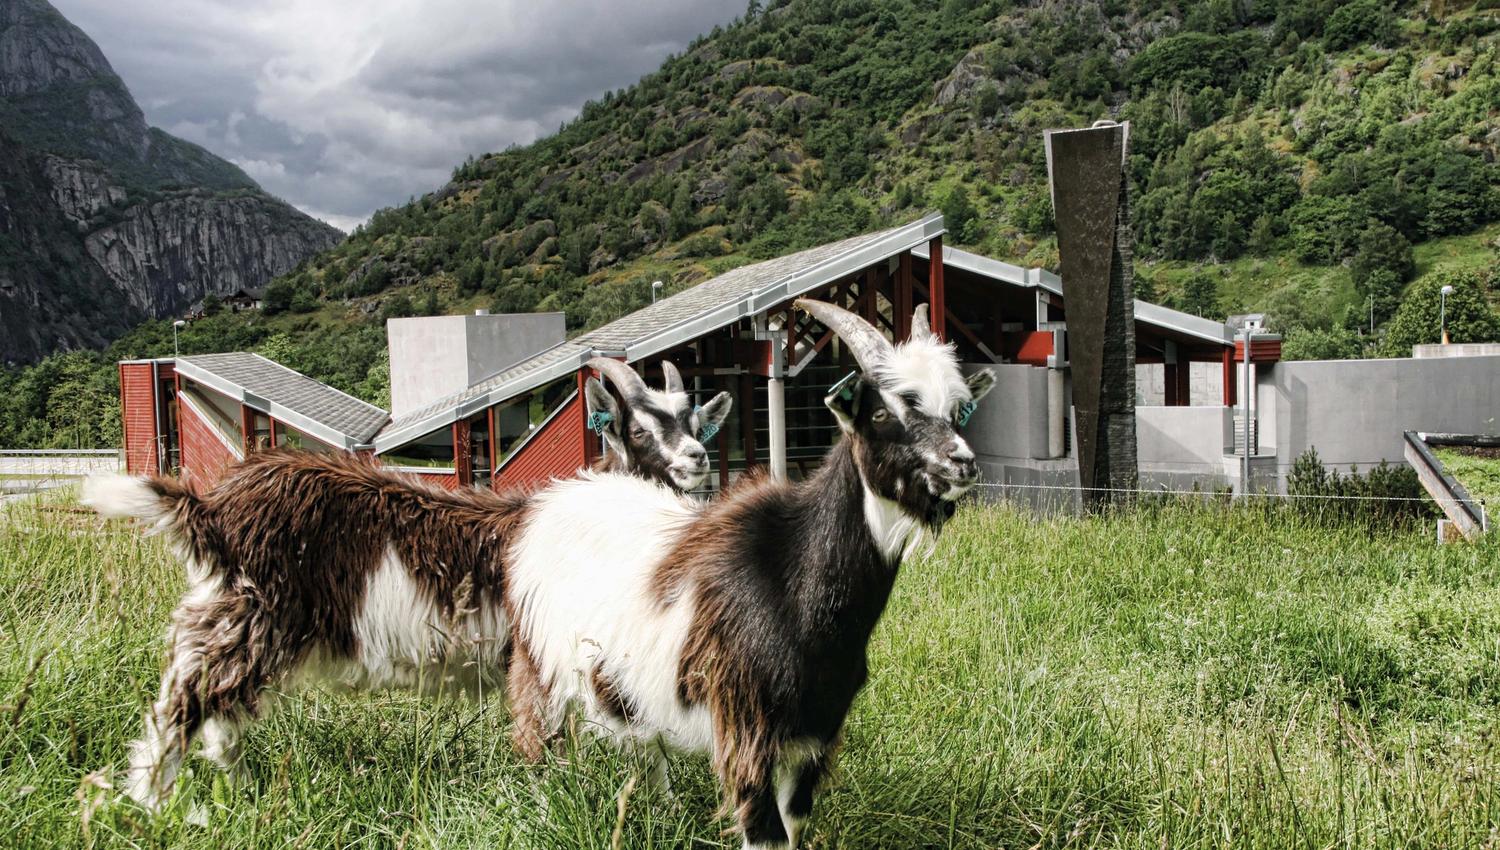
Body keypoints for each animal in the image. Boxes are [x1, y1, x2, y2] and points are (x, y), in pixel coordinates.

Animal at [83, 358, 730, 811]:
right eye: (639, 431)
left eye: (697, 423)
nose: (697, 459)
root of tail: (213, 508)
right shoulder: (534, 653)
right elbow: (540, 740)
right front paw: (549, 803)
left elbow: (645, 742)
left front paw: (663, 804)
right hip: (244, 616)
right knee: (181, 704)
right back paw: (148, 805)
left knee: (222, 711)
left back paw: (236, 790)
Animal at [504, 299, 996, 849]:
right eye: (883, 412)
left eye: (956, 410)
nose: (962, 463)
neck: (795, 585)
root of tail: (555, 498)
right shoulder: (746, 727)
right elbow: (766, 833)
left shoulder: (815, 733)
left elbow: (795, 820)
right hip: (538, 663)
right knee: (536, 740)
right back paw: (545, 808)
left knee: (644, 746)